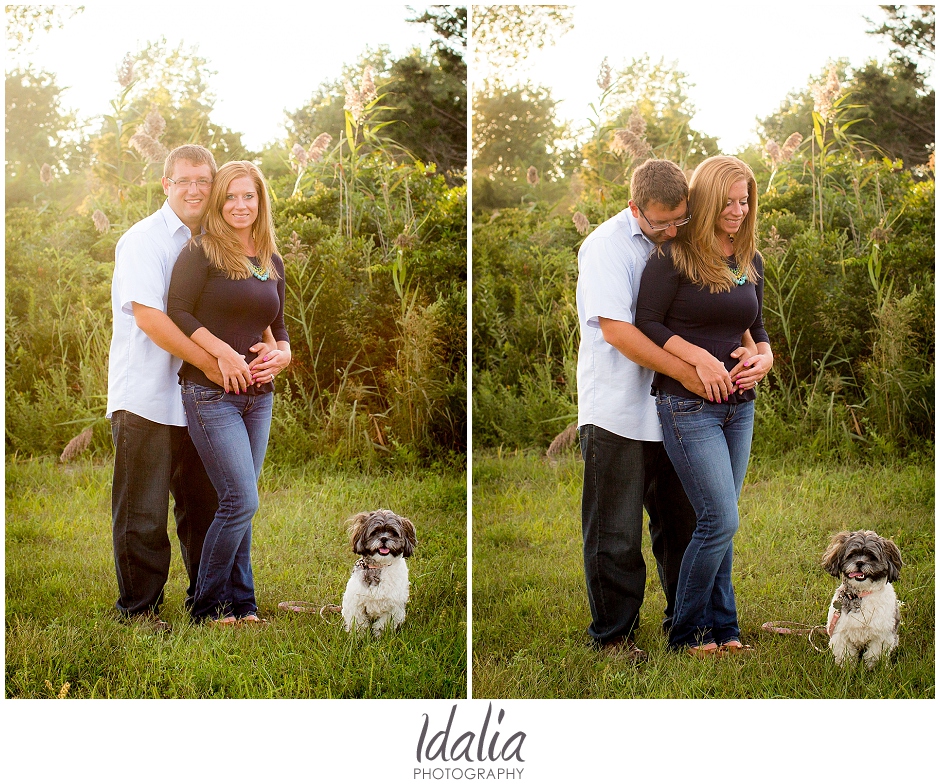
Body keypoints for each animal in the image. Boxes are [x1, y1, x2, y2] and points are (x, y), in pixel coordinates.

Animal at [340, 508, 416, 636]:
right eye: (374, 532)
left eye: (393, 533)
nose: (384, 538)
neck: (379, 566)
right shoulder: (355, 602)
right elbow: (358, 622)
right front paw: (359, 637)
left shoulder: (394, 606)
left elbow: (383, 624)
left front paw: (379, 636)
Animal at [824, 528, 904, 668]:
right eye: (852, 555)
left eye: (872, 557)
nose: (860, 562)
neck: (861, 594)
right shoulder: (840, 633)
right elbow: (845, 654)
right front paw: (847, 669)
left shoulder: (881, 635)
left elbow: (875, 654)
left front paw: (873, 669)